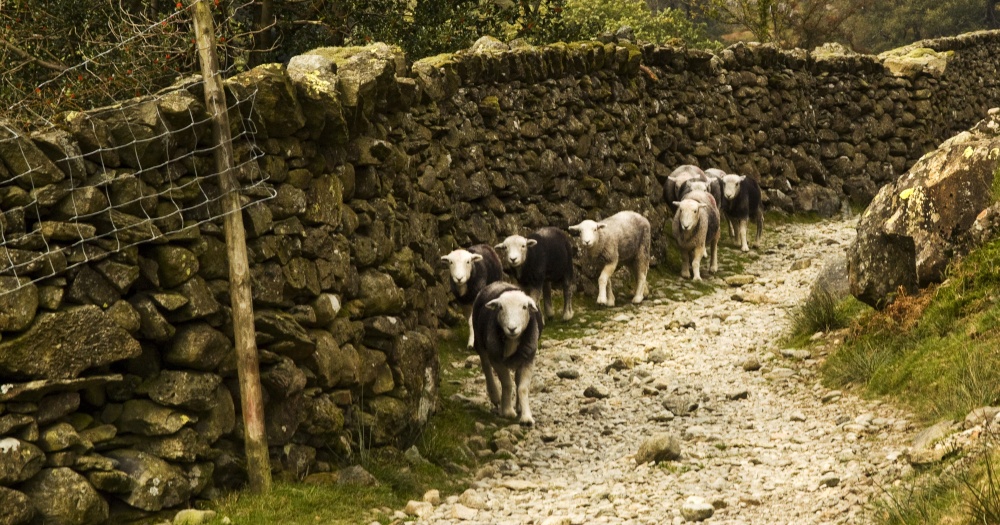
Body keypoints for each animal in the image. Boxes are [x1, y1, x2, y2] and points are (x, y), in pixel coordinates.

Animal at [472, 282, 542, 426]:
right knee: (486, 366)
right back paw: (495, 396)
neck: (512, 340)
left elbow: (522, 388)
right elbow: (507, 383)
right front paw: (508, 411)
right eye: (500, 307)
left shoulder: (529, 359)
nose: (512, 328)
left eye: (524, 307)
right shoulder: (496, 359)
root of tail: (497, 283)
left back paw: (519, 407)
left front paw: (526, 417)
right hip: (481, 342)